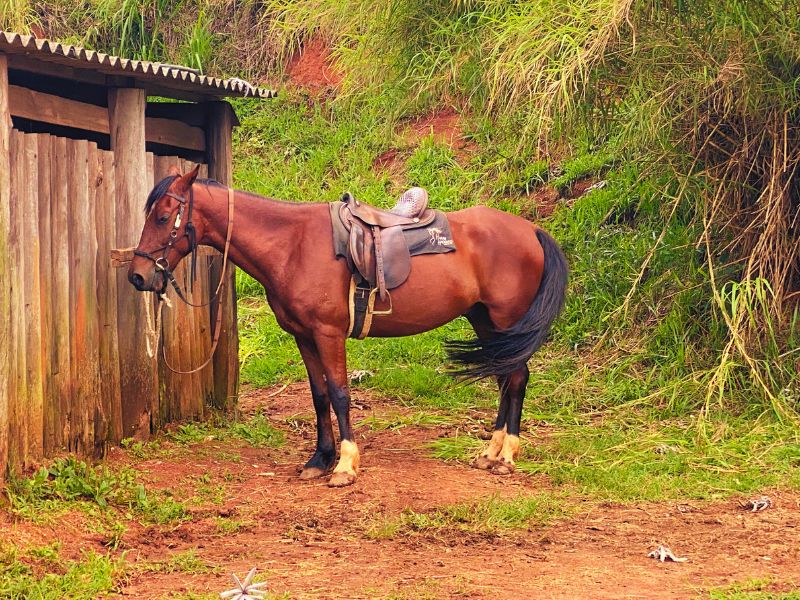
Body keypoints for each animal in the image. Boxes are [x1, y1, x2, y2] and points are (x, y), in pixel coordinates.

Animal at [128, 165, 568, 488]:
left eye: (163, 217)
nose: (137, 276)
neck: (292, 245)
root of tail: (531, 230)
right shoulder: (303, 336)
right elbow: (319, 395)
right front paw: (319, 459)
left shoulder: (329, 333)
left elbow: (340, 395)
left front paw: (344, 466)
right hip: (486, 322)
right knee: (505, 378)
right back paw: (490, 452)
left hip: (505, 319)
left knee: (516, 379)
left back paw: (507, 456)